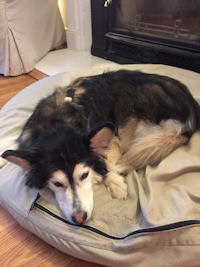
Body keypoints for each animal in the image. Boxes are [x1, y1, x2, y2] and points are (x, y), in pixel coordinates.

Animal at [1, 70, 200, 225]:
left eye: (84, 175)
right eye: (57, 184)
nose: (79, 219)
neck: (56, 122)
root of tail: (193, 110)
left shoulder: (111, 135)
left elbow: (104, 160)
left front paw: (114, 182)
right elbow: (13, 142)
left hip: (136, 118)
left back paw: (123, 166)